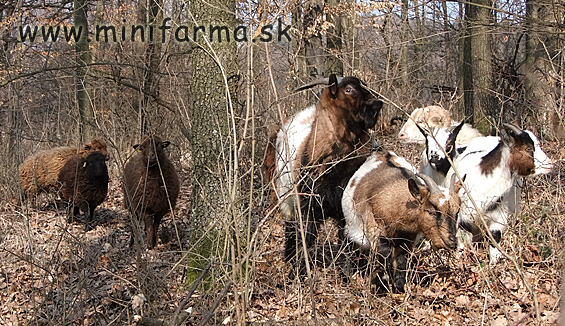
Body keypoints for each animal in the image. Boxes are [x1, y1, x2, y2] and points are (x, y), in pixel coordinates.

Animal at [342, 152, 460, 292]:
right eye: (431, 211)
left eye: (457, 212)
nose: (452, 240)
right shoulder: (376, 231)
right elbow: (385, 254)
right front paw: (382, 282)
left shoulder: (406, 241)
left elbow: (400, 262)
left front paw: (398, 287)